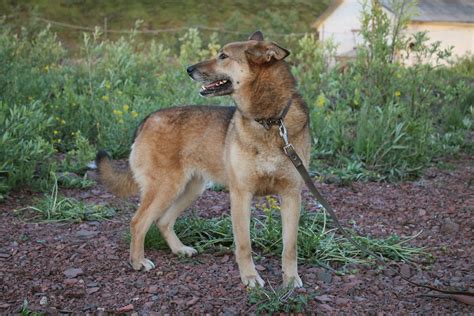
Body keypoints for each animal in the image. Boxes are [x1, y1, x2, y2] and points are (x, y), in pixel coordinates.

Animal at [96, 30, 312, 288]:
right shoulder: (241, 195)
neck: (269, 121)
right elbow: (244, 244)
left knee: (162, 221)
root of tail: (148, 119)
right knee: (138, 222)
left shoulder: (291, 195)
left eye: (223, 56)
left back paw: (179, 250)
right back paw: (138, 262)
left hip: (190, 189)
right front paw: (250, 277)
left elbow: (290, 245)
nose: (188, 69)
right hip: (166, 188)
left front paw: (290, 278)